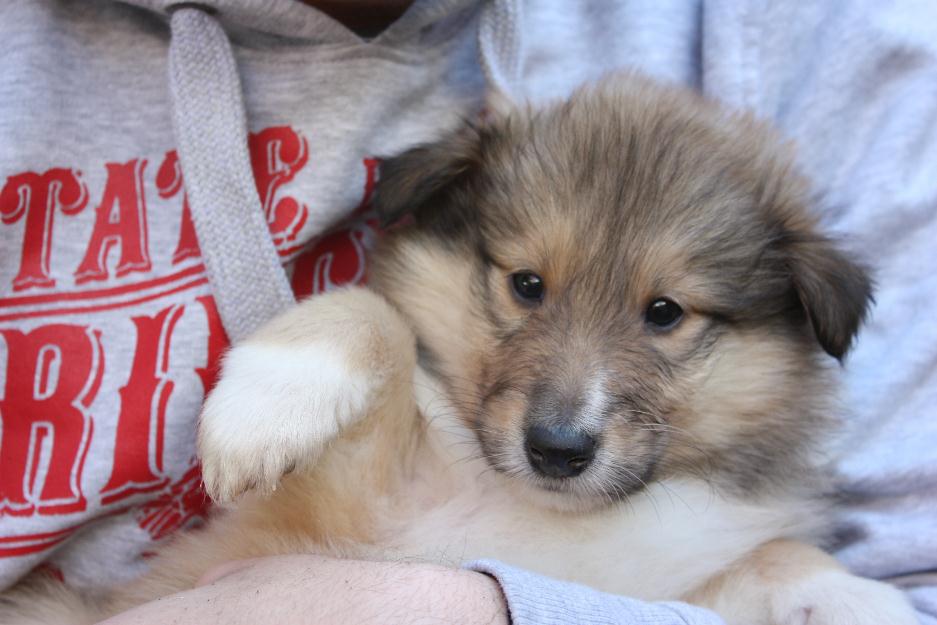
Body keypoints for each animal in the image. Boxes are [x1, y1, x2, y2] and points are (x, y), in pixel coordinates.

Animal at [0, 74, 916, 624]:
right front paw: (264, 404)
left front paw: (856, 596)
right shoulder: (344, 504)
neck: (541, 515)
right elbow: (373, 312)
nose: (557, 450)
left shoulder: (660, 579)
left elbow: (773, 552)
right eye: (526, 284)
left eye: (663, 312)